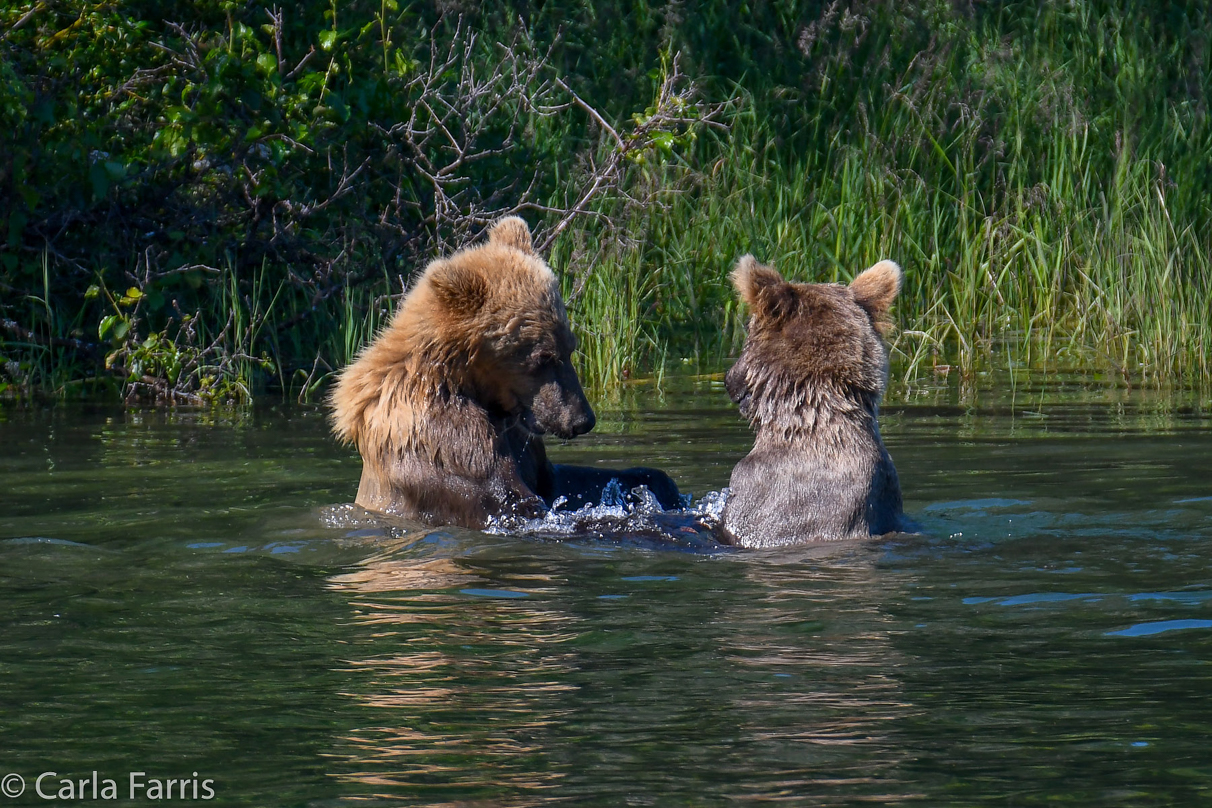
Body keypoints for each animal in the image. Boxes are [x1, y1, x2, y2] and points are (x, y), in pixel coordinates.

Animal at [332, 214, 683, 530]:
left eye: (569, 347)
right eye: (543, 357)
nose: (582, 419)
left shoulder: (522, 436)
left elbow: (555, 480)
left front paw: (656, 484)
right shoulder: (444, 442)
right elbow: (513, 504)